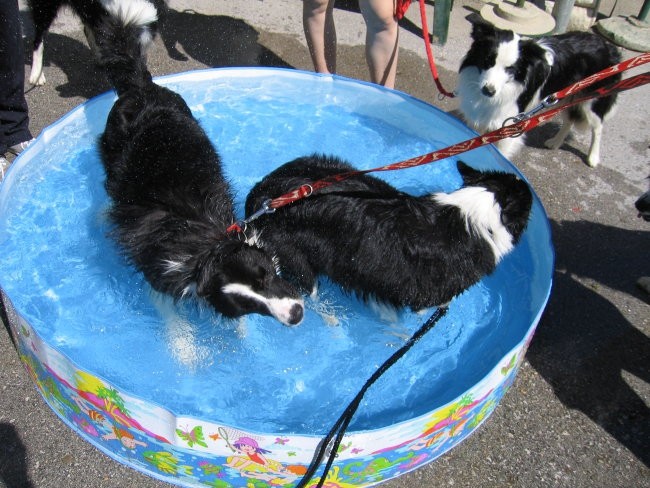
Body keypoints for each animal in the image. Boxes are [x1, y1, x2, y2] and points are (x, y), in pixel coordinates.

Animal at [456, 22, 616, 168]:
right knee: (569, 120)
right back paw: (555, 142)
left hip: (592, 101)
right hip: (565, 96)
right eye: (488, 60)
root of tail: (607, 45)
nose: (488, 91)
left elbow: (500, 154)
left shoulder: (510, 124)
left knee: (597, 127)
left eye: (510, 69)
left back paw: (593, 157)